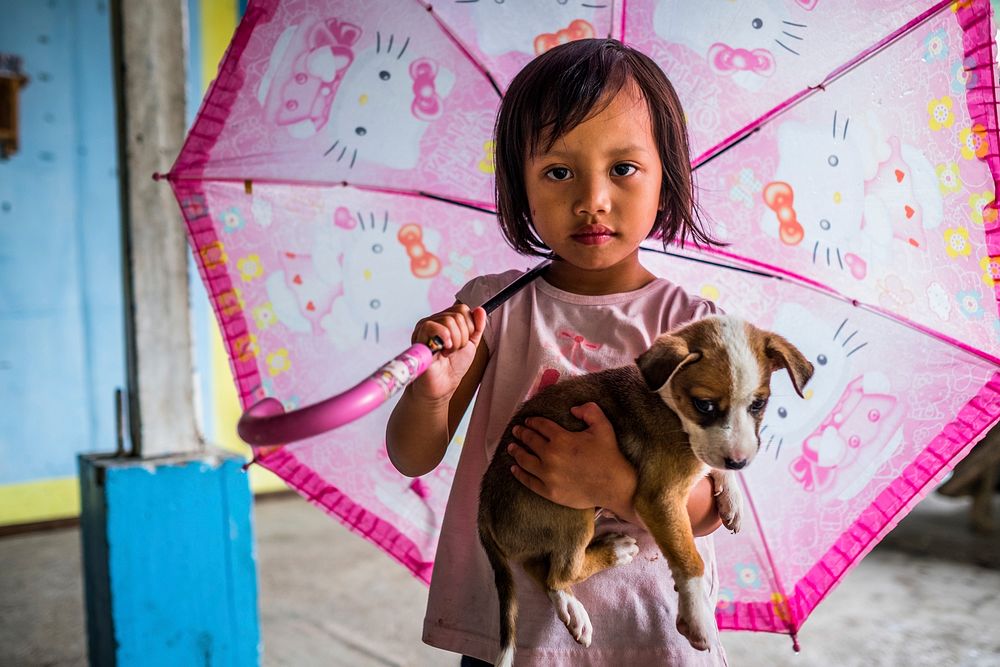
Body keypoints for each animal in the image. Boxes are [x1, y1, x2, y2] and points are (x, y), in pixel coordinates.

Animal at [480, 316, 816, 664]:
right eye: (704, 405)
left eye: (758, 404)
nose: (739, 461)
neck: (669, 403)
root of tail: (484, 509)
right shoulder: (660, 499)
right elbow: (689, 559)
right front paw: (698, 617)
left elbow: (712, 465)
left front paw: (732, 497)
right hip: (573, 512)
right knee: (561, 572)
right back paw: (613, 553)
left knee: (543, 572)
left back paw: (571, 606)